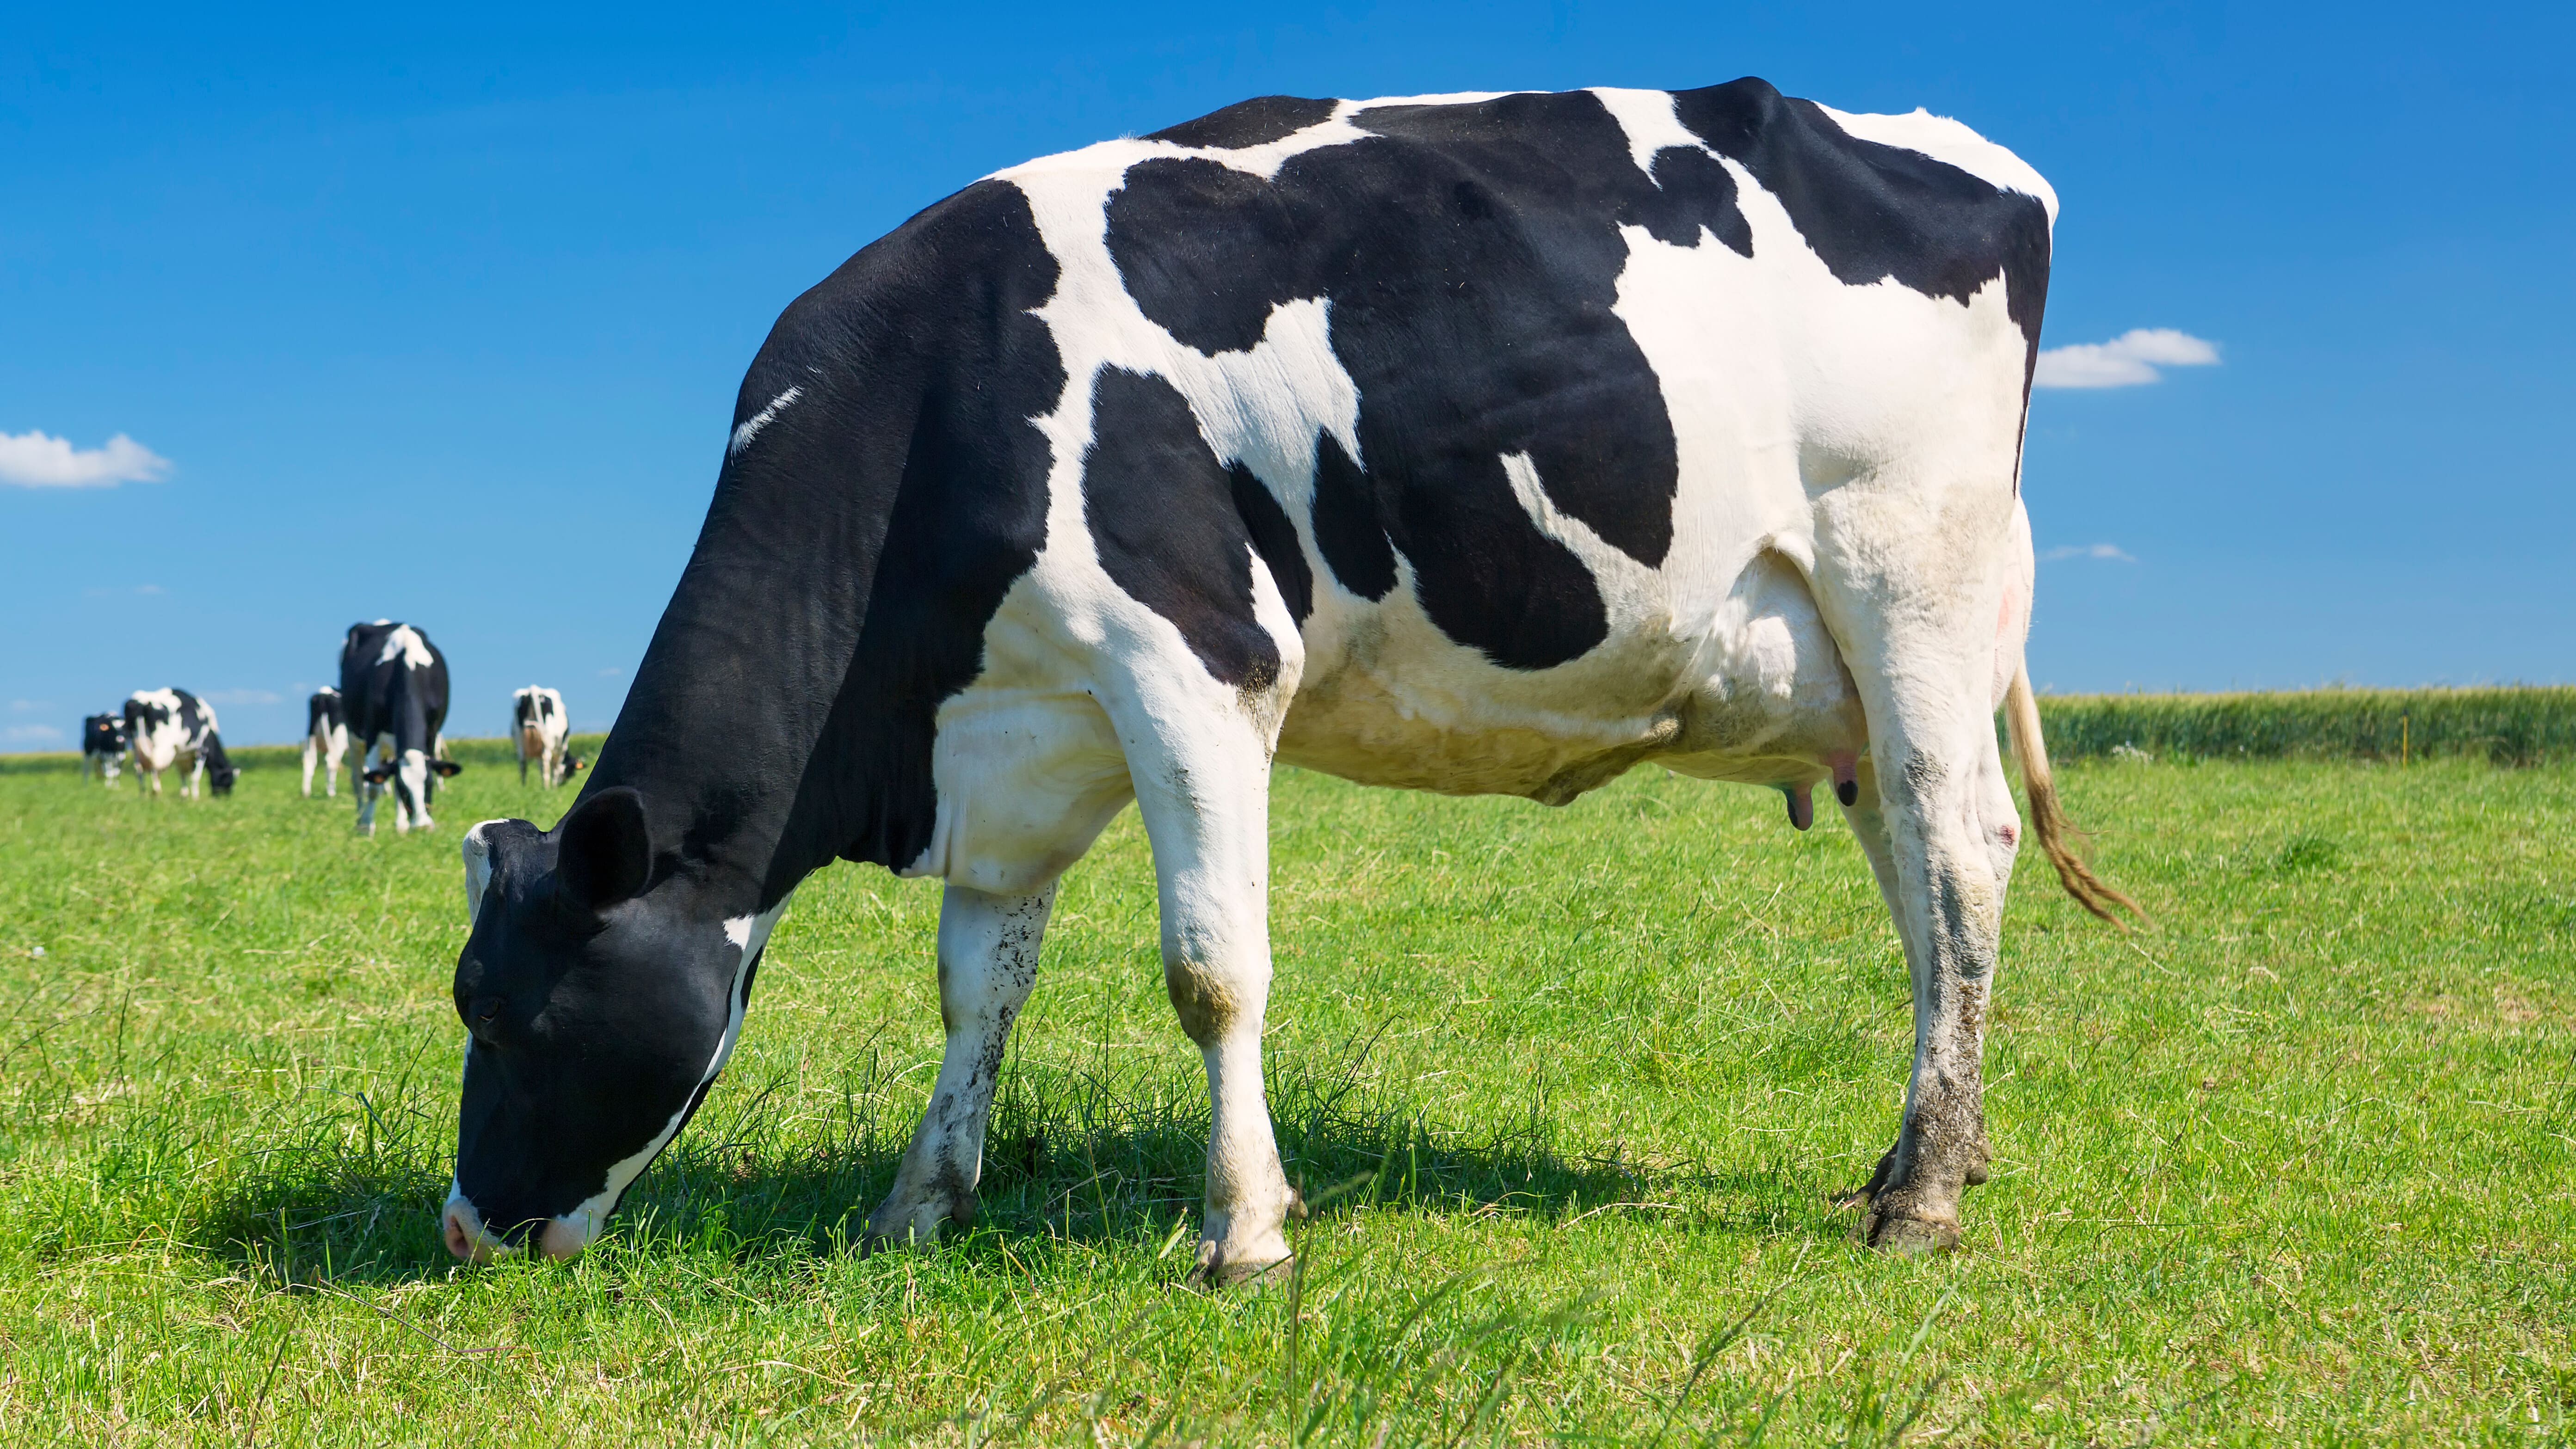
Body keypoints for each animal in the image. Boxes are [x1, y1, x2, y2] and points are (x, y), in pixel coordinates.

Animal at [81, 714, 128, 785]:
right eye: (113, 729)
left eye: (125, 729)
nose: (120, 739)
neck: (115, 750)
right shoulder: (105, 756)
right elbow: (109, 773)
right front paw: (108, 786)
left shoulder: (122, 757)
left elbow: (117, 773)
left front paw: (116, 786)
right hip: (88, 752)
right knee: (86, 769)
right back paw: (85, 785)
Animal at [123, 688, 237, 798]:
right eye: (229, 781)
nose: (227, 797)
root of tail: (143, 701)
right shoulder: (201, 749)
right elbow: (195, 777)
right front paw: (195, 797)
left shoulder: (181, 754)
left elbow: (182, 774)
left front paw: (184, 794)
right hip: (162, 745)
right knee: (155, 764)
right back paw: (156, 791)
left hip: (135, 742)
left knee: (139, 768)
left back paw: (143, 795)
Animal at [303, 687, 350, 797]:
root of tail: (324, 694)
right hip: (340, 737)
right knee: (331, 762)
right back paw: (331, 793)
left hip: (311, 736)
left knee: (310, 761)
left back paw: (306, 793)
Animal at [341, 620, 463, 835]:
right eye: (404, 788)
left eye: (429, 784)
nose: (422, 826)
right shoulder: (372, 733)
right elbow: (373, 787)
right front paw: (367, 827)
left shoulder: (431, 733)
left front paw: (406, 824)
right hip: (353, 734)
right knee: (358, 779)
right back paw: (361, 819)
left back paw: (401, 824)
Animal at [512, 687, 571, 786]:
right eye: (569, 773)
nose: (563, 784)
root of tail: (533, 689)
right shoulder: (562, 749)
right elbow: (555, 768)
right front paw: (554, 786)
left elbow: (541, 767)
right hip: (547, 742)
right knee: (546, 764)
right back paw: (547, 787)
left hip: (519, 740)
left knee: (523, 764)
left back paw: (524, 786)